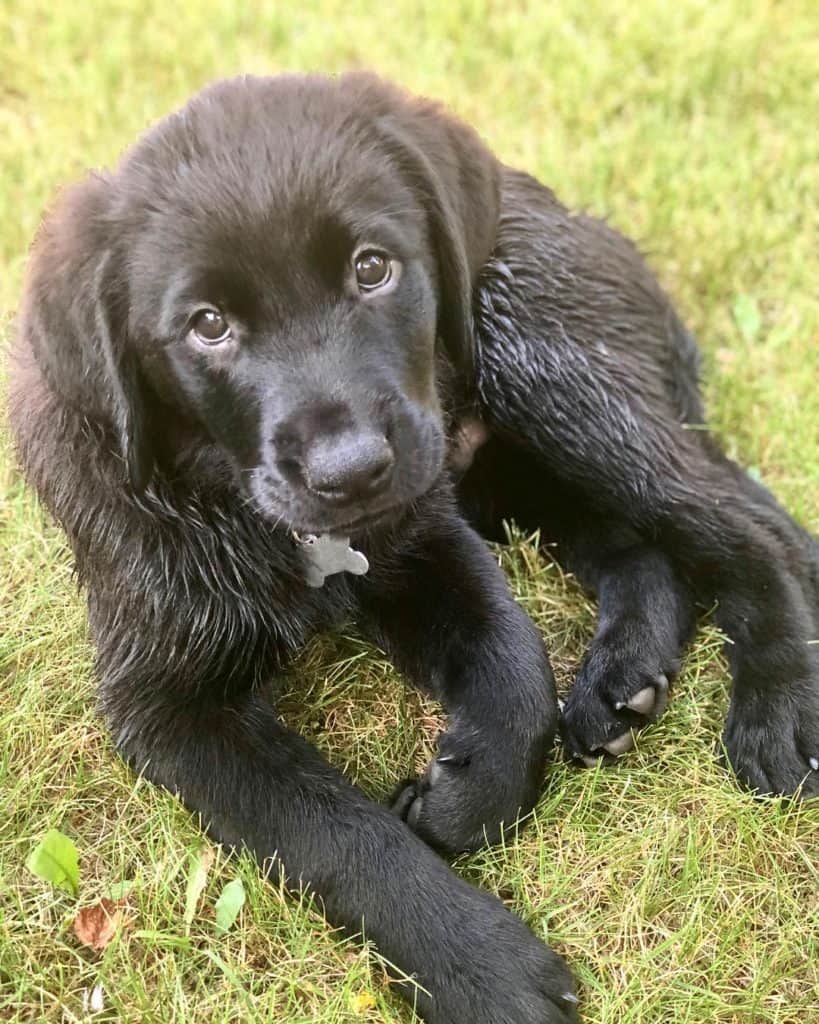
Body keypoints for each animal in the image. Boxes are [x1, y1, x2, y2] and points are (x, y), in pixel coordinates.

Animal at [7, 74, 818, 1024]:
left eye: (371, 268)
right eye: (207, 325)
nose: (352, 470)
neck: (236, 503)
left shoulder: (424, 534)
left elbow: (513, 667)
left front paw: (469, 805)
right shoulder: (168, 702)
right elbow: (333, 830)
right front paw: (483, 969)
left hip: (543, 370)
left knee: (749, 526)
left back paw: (778, 706)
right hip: (509, 468)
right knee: (642, 549)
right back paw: (618, 686)